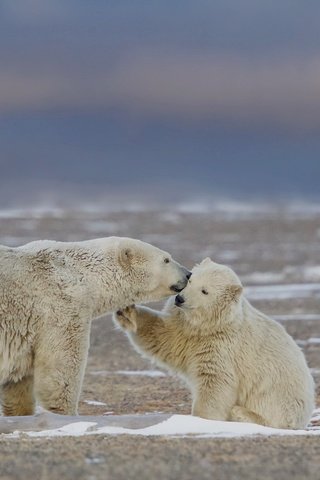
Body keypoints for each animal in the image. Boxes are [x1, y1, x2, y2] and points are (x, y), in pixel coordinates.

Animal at [0, 237, 190, 416]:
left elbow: (19, 381)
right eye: (166, 259)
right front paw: (67, 413)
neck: (82, 273)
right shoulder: (63, 306)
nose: (188, 274)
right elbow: (62, 367)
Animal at [114, 258, 314, 428]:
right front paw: (127, 312)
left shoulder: (223, 346)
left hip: (279, 399)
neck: (212, 326)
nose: (180, 298)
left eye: (205, 291)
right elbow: (164, 338)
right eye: (190, 280)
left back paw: (240, 414)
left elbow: (215, 381)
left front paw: (201, 419)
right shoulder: (186, 331)